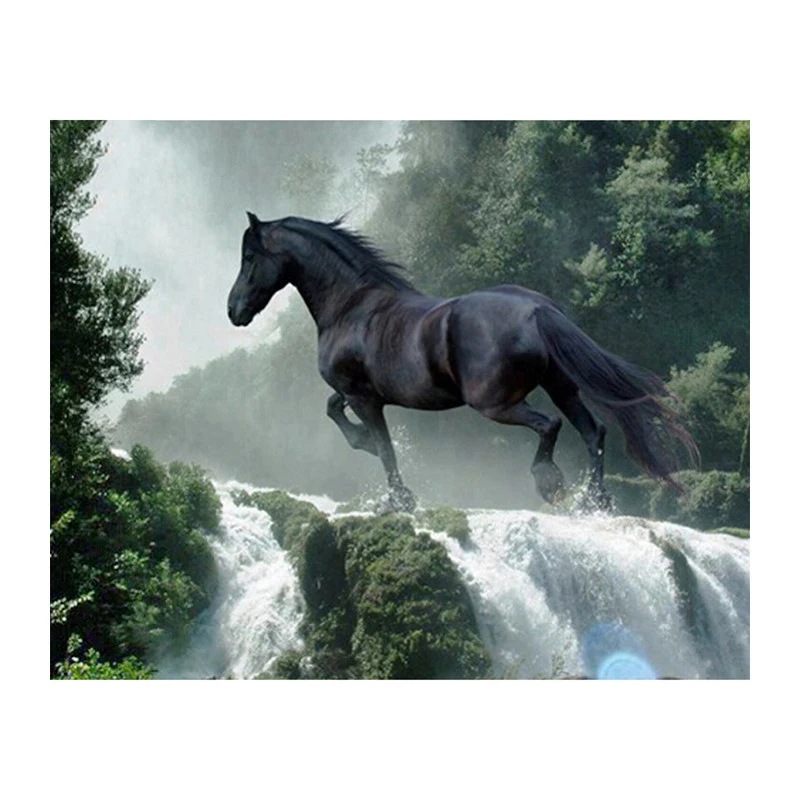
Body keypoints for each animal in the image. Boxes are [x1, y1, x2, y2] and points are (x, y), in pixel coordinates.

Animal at [228, 213, 697, 513]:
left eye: (250, 259)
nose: (234, 310)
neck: (351, 306)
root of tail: (537, 310)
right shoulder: (356, 393)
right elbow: (335, 411)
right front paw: (367, 449)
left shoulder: (365, 397)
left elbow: (383, 447)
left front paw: (397, 501)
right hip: (561, 386)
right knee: (593, 430)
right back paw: (593, 502)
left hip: (494, 403)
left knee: (551, 426)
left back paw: (550, 483)